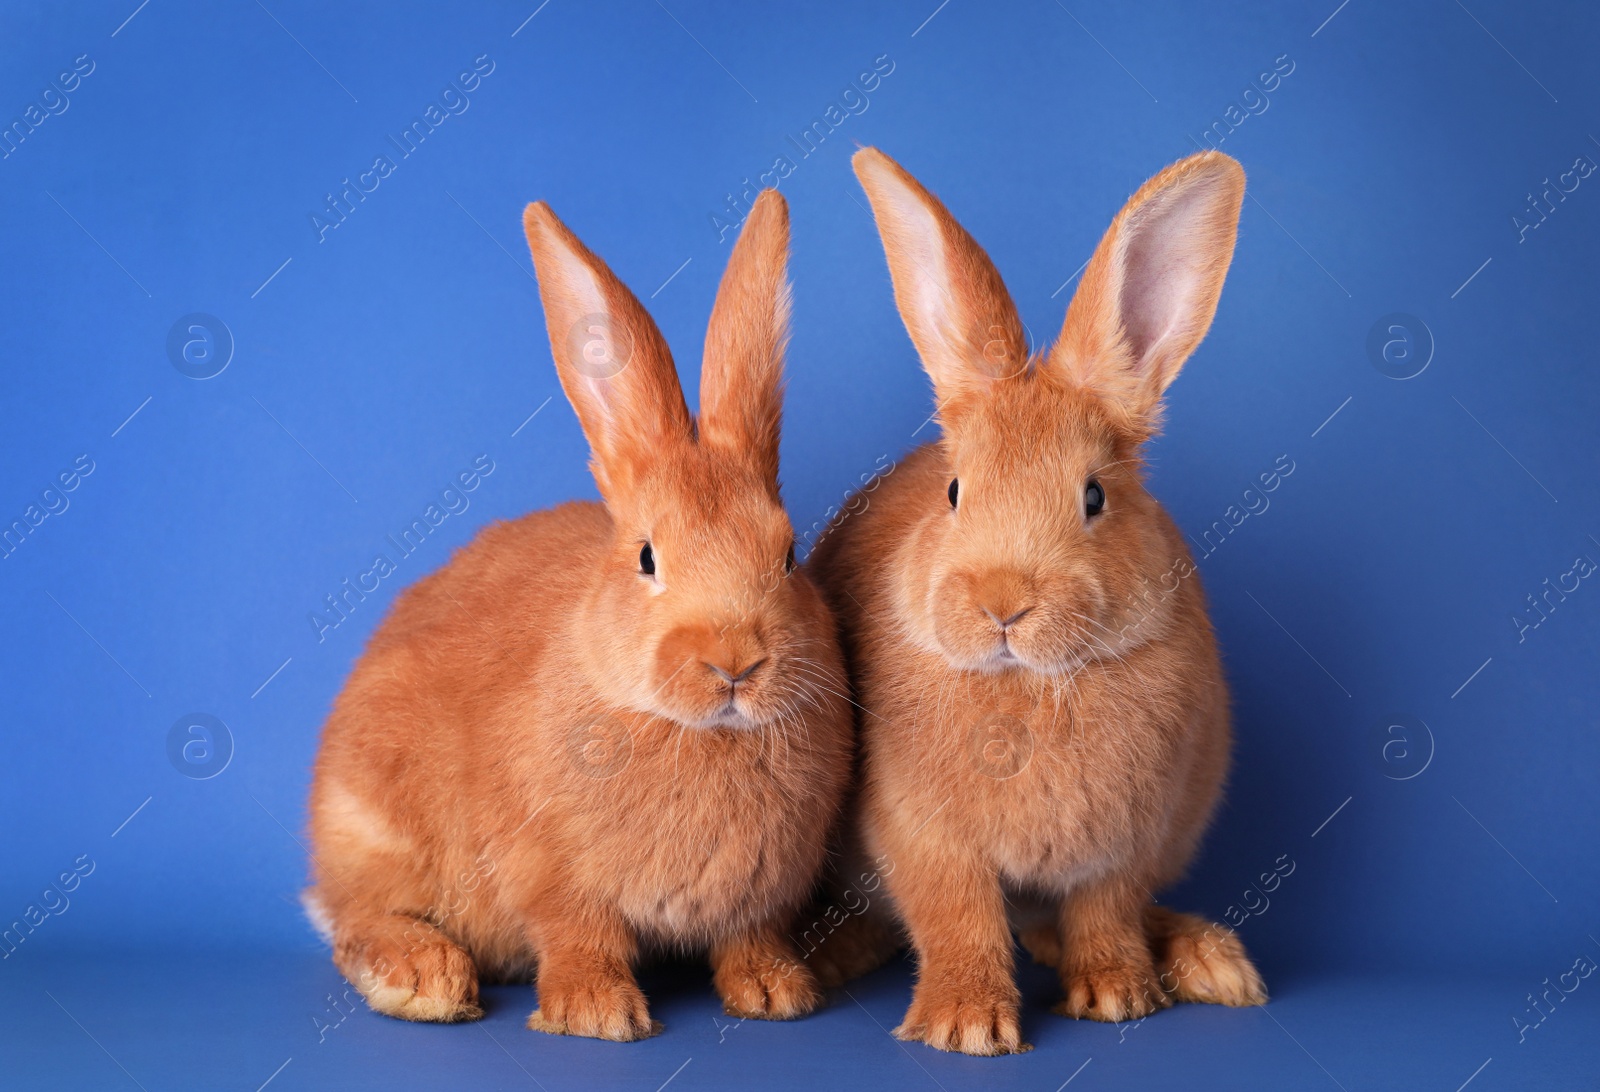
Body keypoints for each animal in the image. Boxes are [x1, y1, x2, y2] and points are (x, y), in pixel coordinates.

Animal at [299, 188, 851, 1037]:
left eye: (787, 554)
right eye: (647, 558)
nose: (734, 662)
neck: (686, 728)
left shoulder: (758, 900)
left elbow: (747, 939)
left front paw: (776, 994)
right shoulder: (551, 875)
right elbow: (578, 935)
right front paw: (597, 1013)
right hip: (372, 825)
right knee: (358, 917)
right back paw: (425, 980)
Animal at [819, 148, 1267, 1050]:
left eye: (1094, 496)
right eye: (954, 491)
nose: (1002, 605)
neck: (1027, 683)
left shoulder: (1124, 844)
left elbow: (1105, 913)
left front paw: (1119, 996)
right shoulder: (922, 838)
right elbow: (955, 917)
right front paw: (966, 1025)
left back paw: (1211, 962)